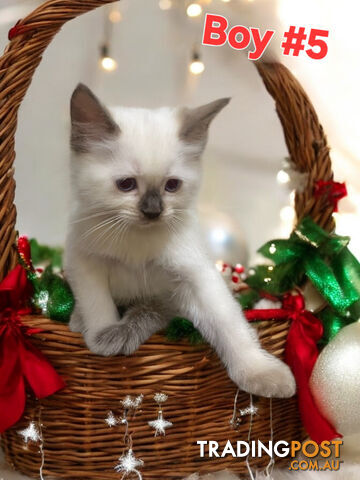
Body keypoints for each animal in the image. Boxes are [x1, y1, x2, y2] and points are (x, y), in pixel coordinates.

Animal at [64, 83, 296, 398]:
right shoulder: (85, 262)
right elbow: (98, 306)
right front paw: (102, 336)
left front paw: (260, 372)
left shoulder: (196, 277)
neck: (138, 241)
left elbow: (230, 325)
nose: (153, 212)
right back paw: (79, 320)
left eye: (172, 185)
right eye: (126, 184)